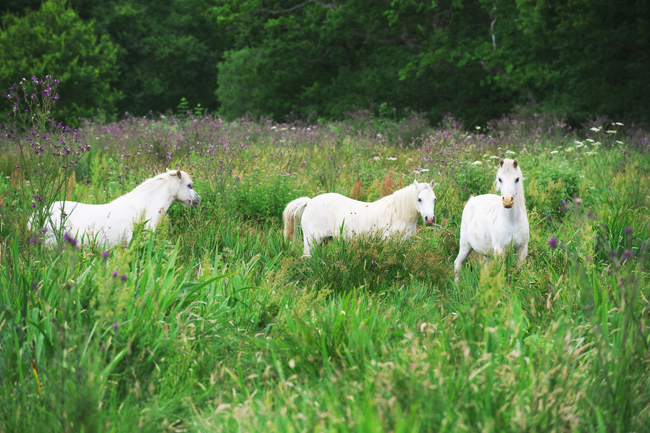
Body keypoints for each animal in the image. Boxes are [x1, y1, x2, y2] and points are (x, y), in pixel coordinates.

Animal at [280, 180, 436, 256]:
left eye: (434, 199)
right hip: (311, 240)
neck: (397, 214)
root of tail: (310, 201)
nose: (429, 219)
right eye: (419, 199)